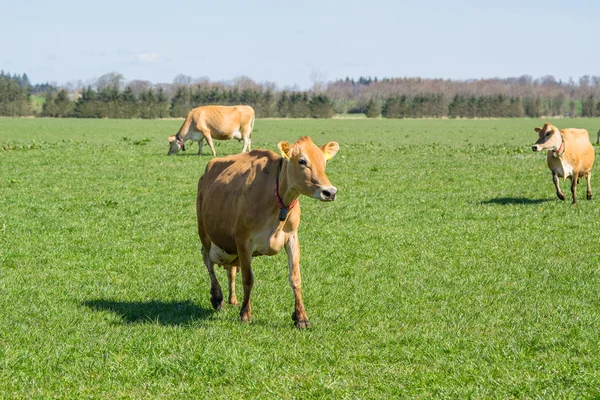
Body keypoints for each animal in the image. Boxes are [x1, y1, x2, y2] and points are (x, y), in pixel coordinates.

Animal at [196, 137, 340, 328]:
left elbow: (295, 278)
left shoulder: (292, 237)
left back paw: (232, 299)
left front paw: (301, 317)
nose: (330, 192)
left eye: (324, 162)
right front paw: (245, 314)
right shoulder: (243, 241)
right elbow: (248, 279)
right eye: (302, 161)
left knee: (231, 269)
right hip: (204, 232)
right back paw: (218, 297)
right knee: (208, 261)